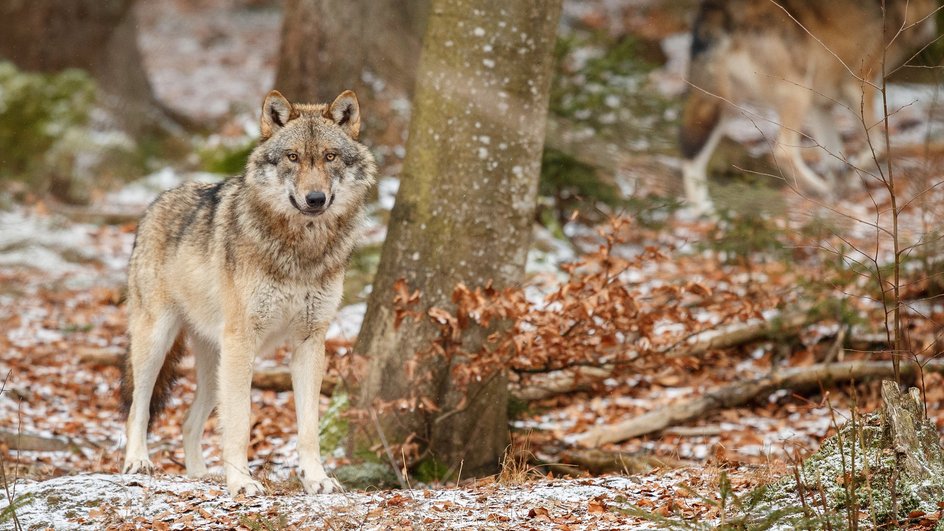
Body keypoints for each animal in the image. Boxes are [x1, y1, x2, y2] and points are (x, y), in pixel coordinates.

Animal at [121, 89, 376, 496]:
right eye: (292, 157)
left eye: (330, 157)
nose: (315, 198)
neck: (301, 251)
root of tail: (156, 202)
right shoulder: (243, 341)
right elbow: (240, 422)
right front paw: (241, 482)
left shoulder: (310, 341)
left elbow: (309, 428)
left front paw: (316, 479)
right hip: (158, 344)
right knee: (138, 408)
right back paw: (138, 462)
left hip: (215, 367)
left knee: (188, 422)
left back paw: (200, 475)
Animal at [680, 0, 936, 216]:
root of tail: (719, 11)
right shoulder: (861, 84)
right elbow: (878, 145)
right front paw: (849, 182)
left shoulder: (821, 104)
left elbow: (835, 158)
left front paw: (842, 187)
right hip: (796, 93)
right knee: (783, 152)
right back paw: (819, 188)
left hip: (723, 106)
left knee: (690, 157)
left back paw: (705, 213)